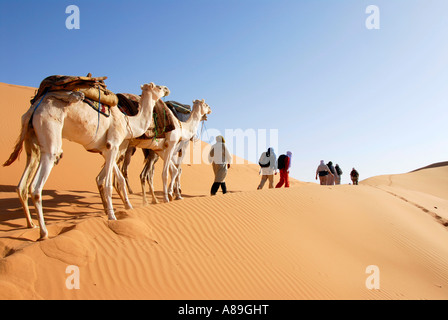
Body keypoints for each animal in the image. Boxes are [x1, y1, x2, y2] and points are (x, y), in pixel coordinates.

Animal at [3, 81, 170, 239]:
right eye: (157, 86)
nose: (167, 89)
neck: (127, 120)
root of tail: (34, 109)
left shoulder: (107, 149)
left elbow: (115, 179)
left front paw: (124, 208)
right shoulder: (113, 144)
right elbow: (108, 184)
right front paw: (112, 216)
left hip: (31, 141)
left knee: (22, 184)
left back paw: (31, 224)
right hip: (49, 132)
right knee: (36, 186)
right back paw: (44, 233)